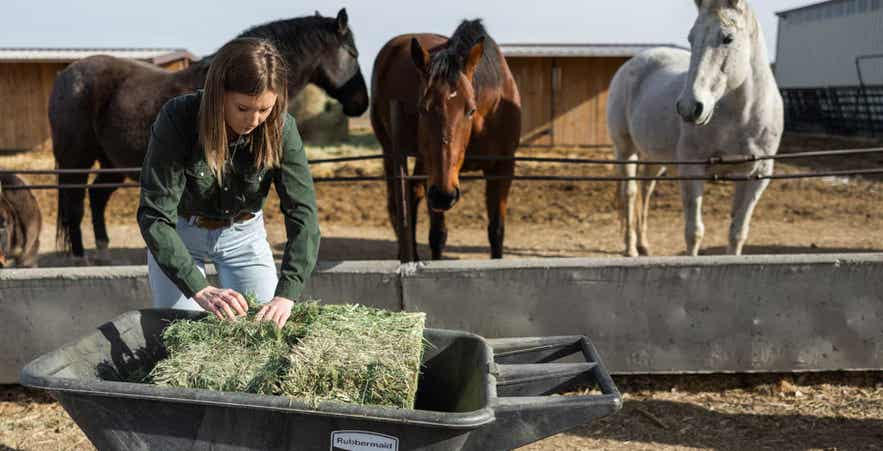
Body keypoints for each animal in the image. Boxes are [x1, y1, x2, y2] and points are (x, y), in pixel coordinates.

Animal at [49, 8, 370, 260]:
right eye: (353, 53)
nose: (361, 103)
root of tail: (66, 76)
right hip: (76, 160)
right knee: (74, 204)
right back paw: (80, 258)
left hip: (113, 164)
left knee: (96, 197)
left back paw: (103, 251)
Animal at [371, 19, 521, 260]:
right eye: (422, 108)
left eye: (470, 109)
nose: (444, 195)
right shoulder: (435, 178)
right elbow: (437, 235)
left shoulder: (503, 168)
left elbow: (496, 231)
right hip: (392, 151)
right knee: (399, 204)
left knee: (412, 195)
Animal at [606, 0, 783, 257]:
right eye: (691, 38)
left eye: (728, 38)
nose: (689, 107)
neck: (739, 118)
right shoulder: (692, 170)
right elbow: (694, 232)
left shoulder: (756, 176)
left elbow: (737, 232)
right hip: (625, 149)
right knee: (630, 193)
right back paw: (631, 249)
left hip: (655, 157)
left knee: (646, 188)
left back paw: (644, 244)